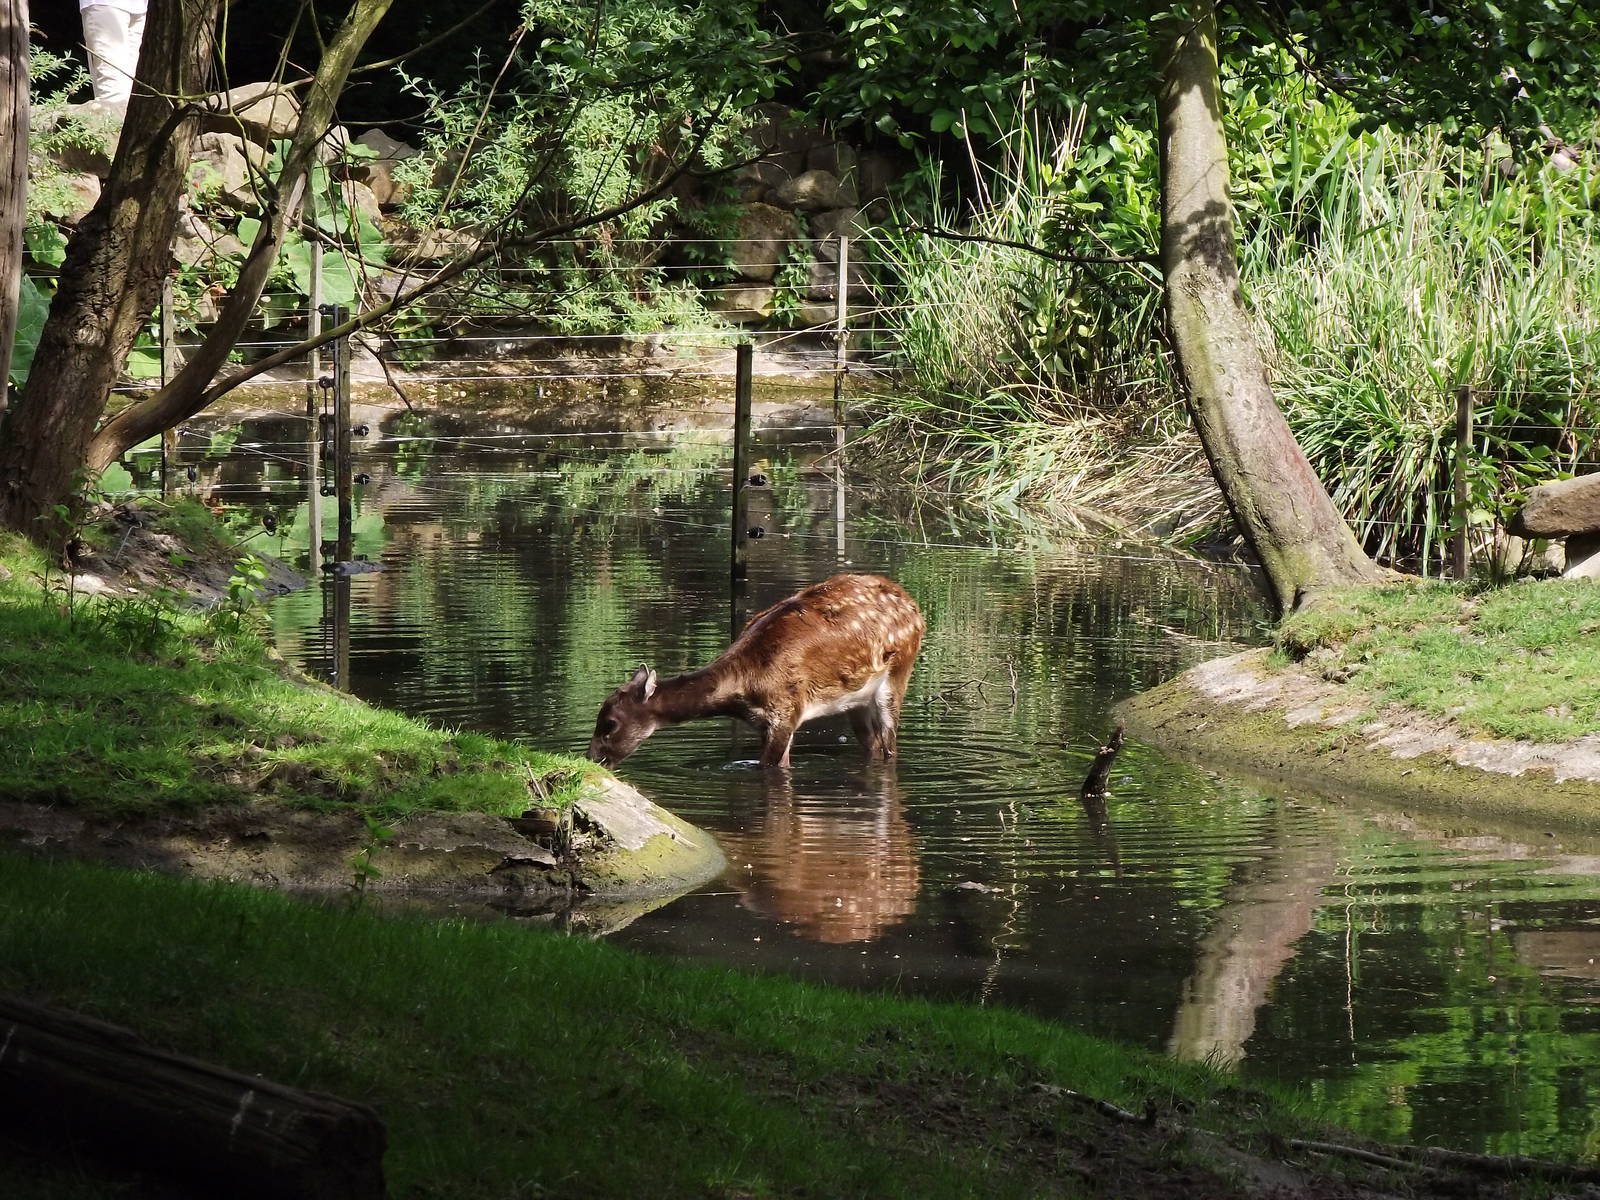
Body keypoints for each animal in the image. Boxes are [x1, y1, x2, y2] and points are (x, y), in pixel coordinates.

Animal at [588, 574, 924, 770]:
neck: (744, 688)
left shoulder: (785, 712)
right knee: (873, 745)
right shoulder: (768, 723)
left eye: (609, 724)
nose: (592, 759)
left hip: (897, 673)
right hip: (856, 698)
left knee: (890, 744)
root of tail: (915, 608)